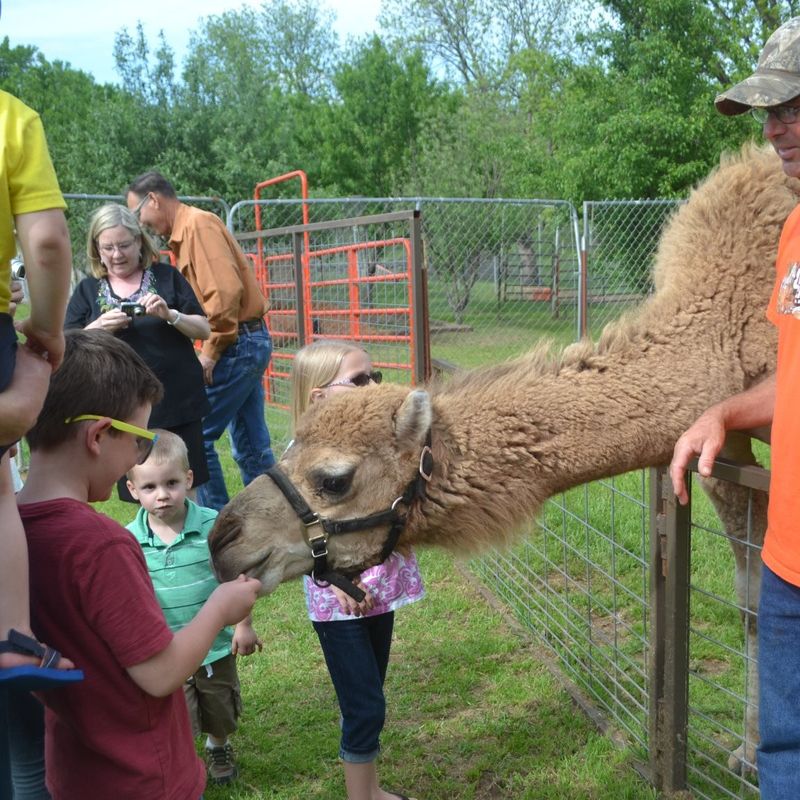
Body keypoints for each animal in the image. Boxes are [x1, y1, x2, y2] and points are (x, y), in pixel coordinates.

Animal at [208, 144, 800, 776]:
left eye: (334, 479)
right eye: (289, 448)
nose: (224, 539)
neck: (728, 321)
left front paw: (754, 755)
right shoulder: (717, 444)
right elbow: (752, 602)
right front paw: (748, 750)